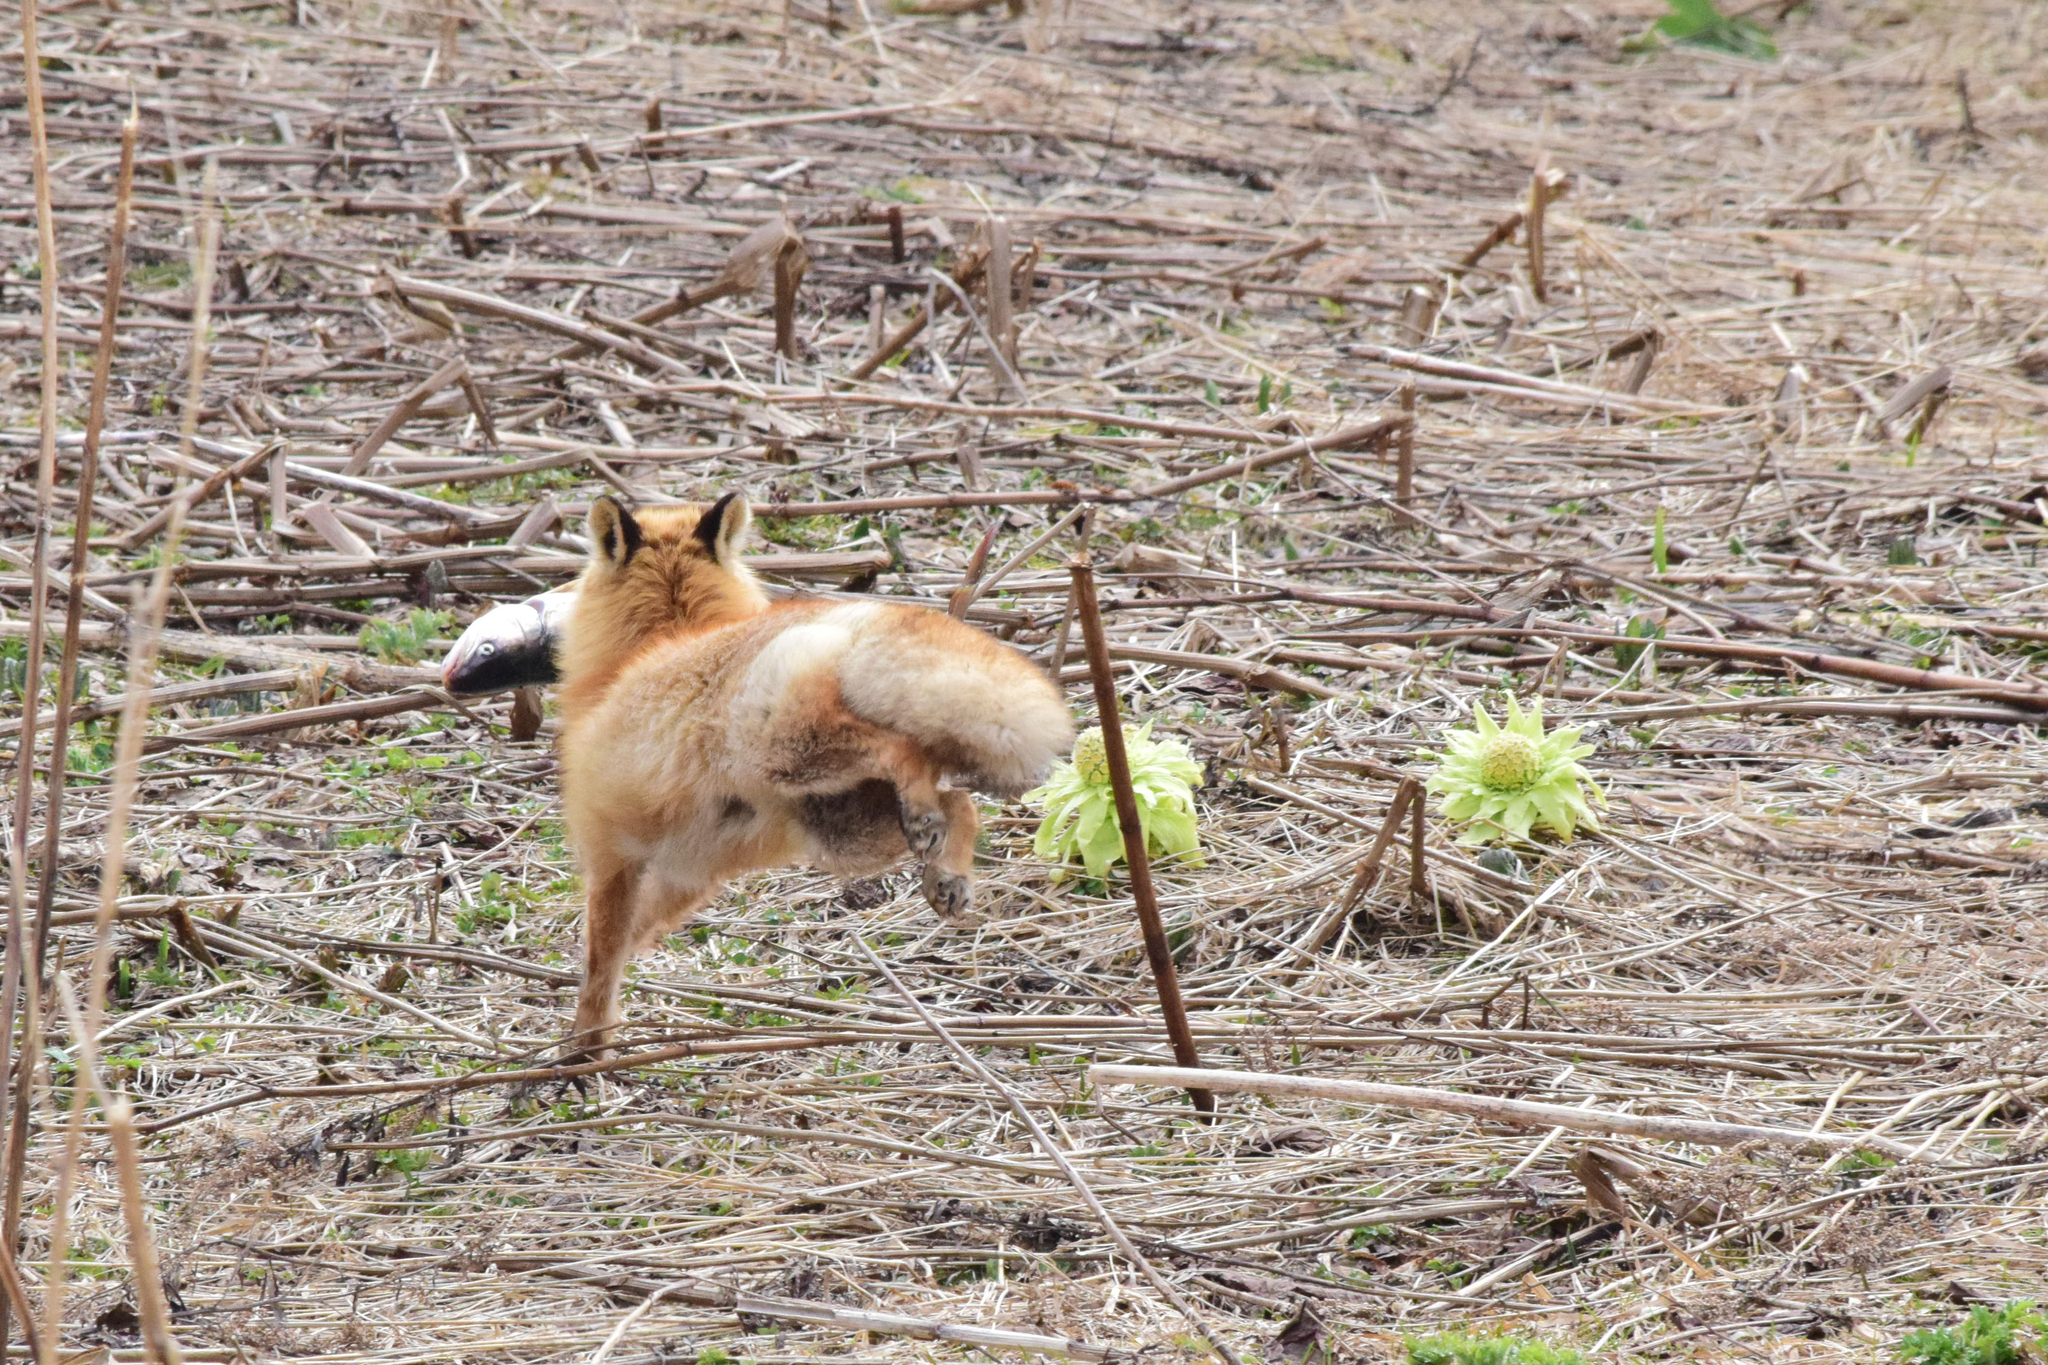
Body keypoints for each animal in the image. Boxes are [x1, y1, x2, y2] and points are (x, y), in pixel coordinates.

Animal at [552, 493, 1081, 1055]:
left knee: (901, 749)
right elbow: (630, 938)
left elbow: (601, 963)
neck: (661, 638)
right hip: (839, 824)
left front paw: (584, 1051)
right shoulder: (685, 871)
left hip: (789, 751)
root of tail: (856, 615)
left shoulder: (612, 854)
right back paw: (947, 870)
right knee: (956, 800)